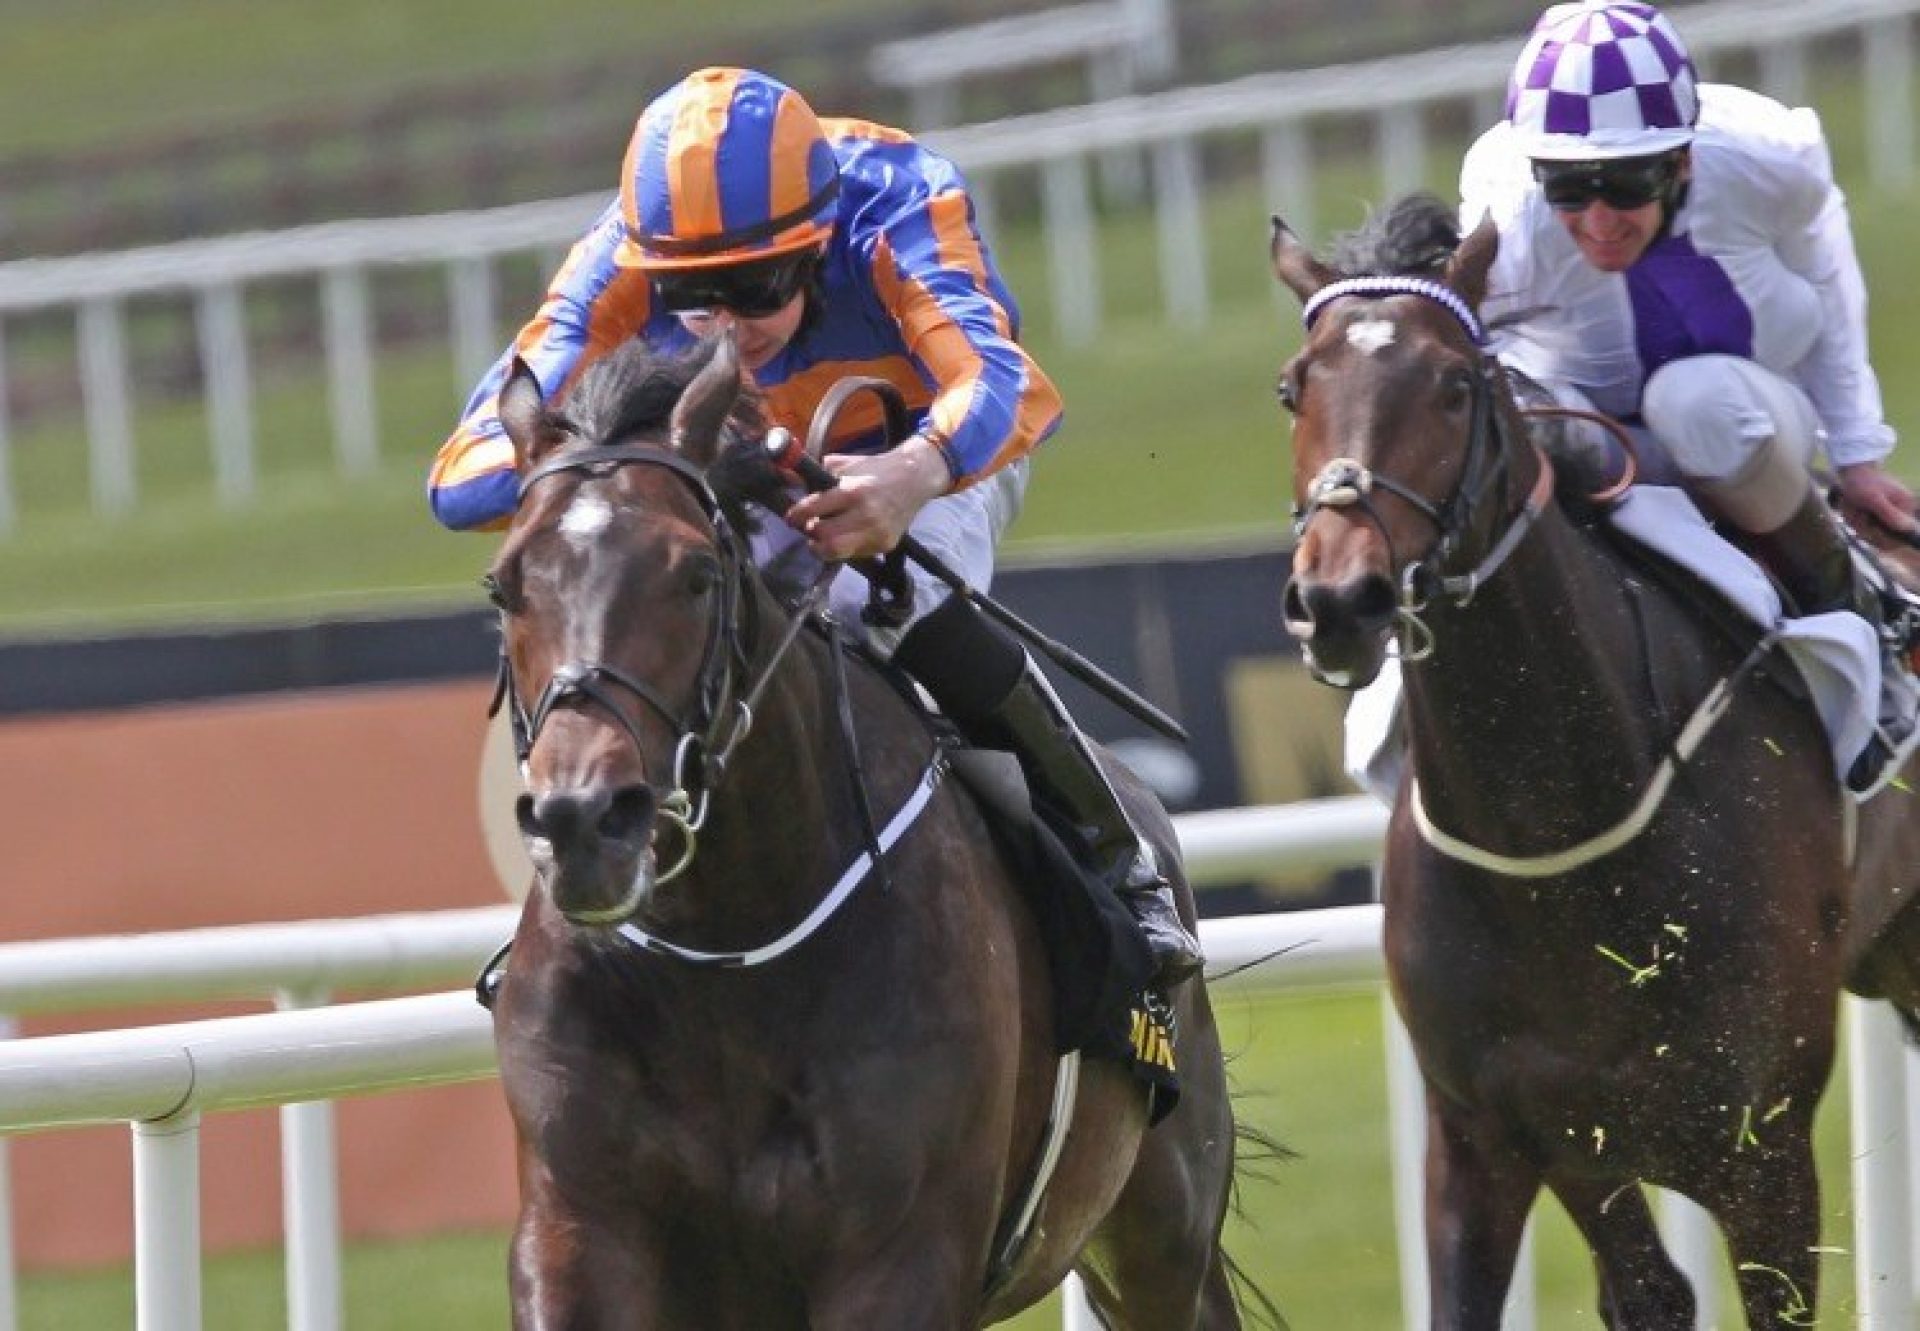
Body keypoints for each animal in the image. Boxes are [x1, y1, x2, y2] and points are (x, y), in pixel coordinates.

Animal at [480, 334, 1251, 1329]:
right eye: (504, 585)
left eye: (696, 574)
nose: (582, 819)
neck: (725, 956)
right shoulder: (578, 1227)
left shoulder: (901, 1250)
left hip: (1161, 1230)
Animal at [1274, 192, 1920, 1321]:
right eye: (1293, 388)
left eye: (1454, 384)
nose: (1338, 600)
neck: (1551, 835)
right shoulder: (1503, 1137)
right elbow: (1632, 1290)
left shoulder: (1762, 1150)